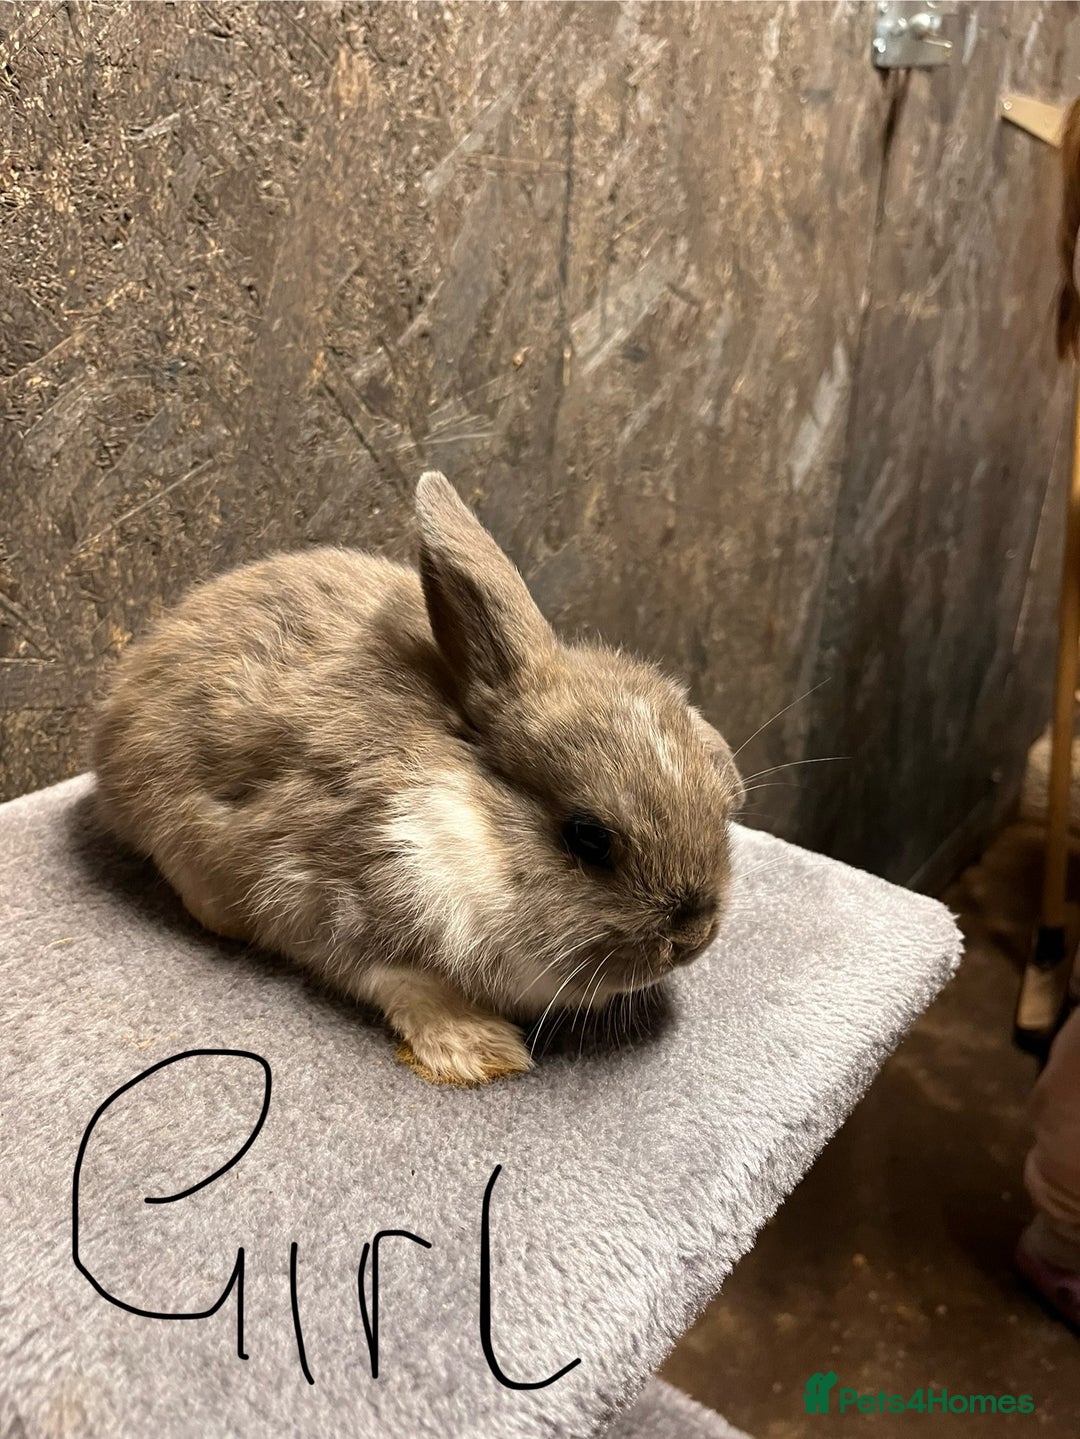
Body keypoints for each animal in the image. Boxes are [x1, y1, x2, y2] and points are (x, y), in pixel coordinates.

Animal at [92, 471, 744, 1086]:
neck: (462, 811)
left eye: (723, 804)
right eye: (589, 837)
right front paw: (479, 1051)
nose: (694, 936)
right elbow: (401, 982)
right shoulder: (330, 901)